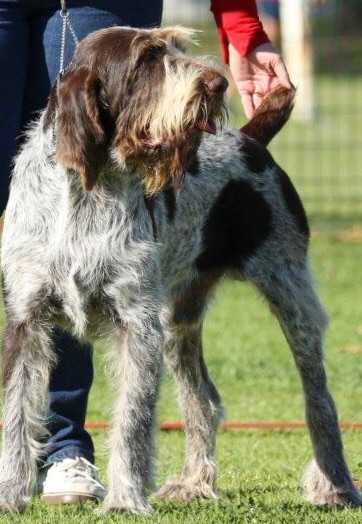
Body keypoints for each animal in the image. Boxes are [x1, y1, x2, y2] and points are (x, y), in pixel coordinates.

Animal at [0, 24, 362, 512]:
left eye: (174, 47)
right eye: (147, 59)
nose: (218, 83)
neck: (86, 193)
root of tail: (249, 140)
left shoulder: (137, 323)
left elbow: (133, 420)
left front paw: (125, 500)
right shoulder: (27, 320)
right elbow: (17, 417)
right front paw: (9, 494)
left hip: (291, 295)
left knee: (319, 399)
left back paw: (335, 485)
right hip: (178, 321)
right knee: (203, 400)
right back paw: (195, 482)